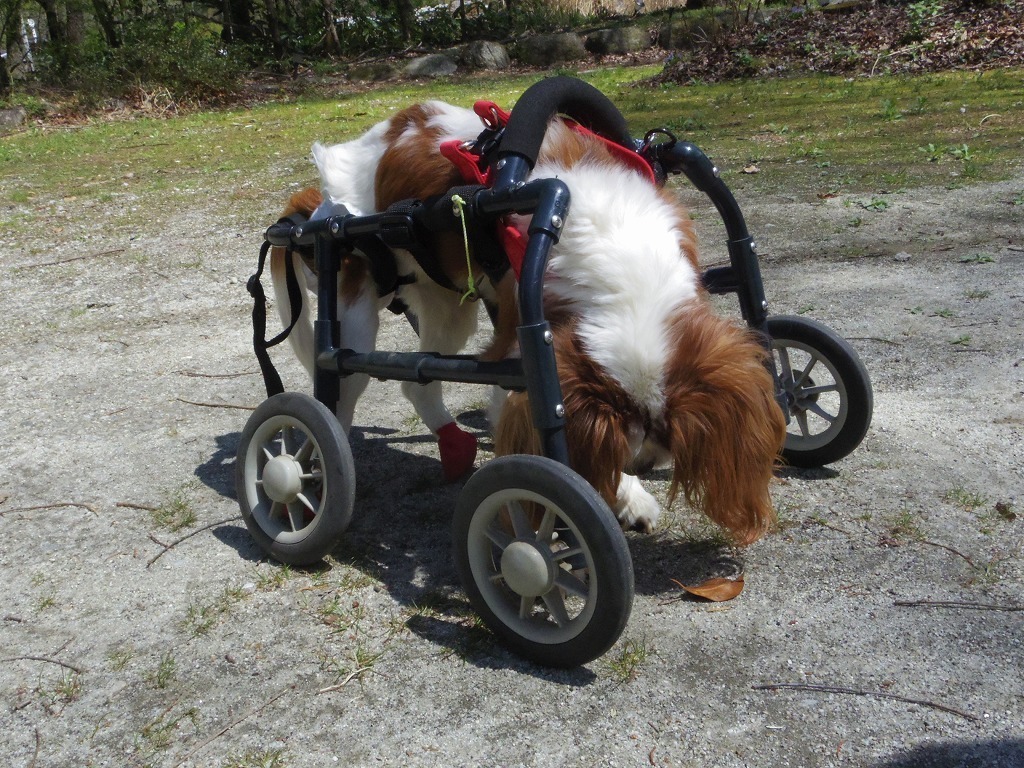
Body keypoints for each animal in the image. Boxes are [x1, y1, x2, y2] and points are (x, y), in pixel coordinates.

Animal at [272, 102, 782, 544]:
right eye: (625, 430)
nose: (647, 463)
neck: (618, 252)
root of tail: (319, 200)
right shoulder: (522, 350)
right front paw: (624, 495)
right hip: (355, 309)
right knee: (337, 394)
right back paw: (315, 473)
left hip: (449, 308)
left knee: (418, 381)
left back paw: (454, 447)